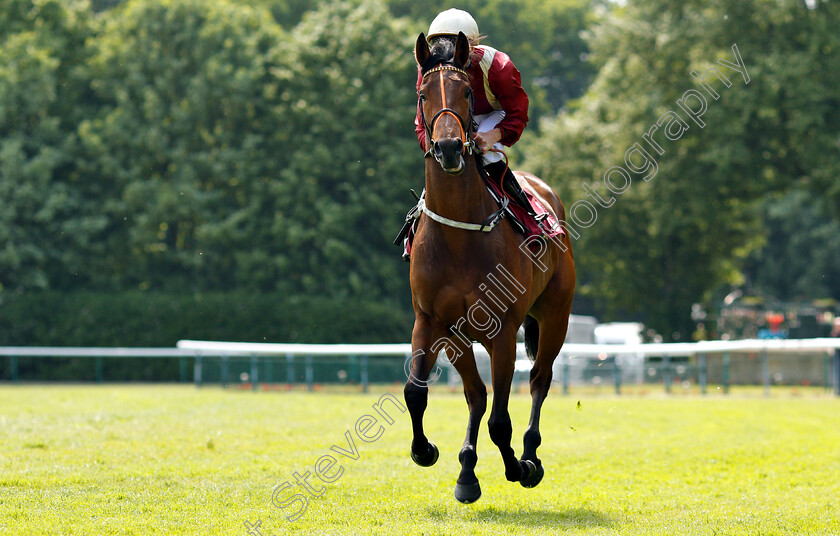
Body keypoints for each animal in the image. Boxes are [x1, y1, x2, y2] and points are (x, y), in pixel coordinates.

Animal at [402, 32, 576, 502]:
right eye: (423, 94)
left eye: (466, 92)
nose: (447, 148)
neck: (459, 237)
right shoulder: (433, 321)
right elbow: (416, 393)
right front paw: (427, 452)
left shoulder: (504, 328)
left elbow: (502, 420)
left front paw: (519, 467)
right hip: (462, 336)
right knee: (477, 395)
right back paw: (466, 470)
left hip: (555, 314)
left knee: (539, 379)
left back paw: (530, 454)